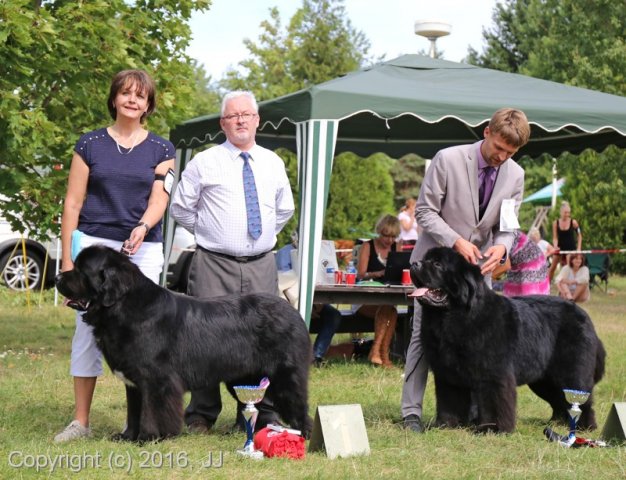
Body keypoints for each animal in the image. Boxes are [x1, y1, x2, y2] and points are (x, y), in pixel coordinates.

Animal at [56, 246, 312, 440]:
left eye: (80, 270)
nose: (58, 276)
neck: (122, 307)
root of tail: (292, 310)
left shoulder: (156, 380)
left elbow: (152, 411)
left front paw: (149, 437)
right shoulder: (134, 382)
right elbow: (134, 411)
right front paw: (127, 437)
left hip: (284, 376)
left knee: (298, 405)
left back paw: (305, 436)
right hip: (244, 377)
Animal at [410, 248, 604, 436]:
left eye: (437, 264)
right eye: (425, 259)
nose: (414, 264)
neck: (452, 318)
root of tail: (584, 315)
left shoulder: (493, 374)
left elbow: (494, 401)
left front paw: (491, 428)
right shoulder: (448, 373)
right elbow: (450, 399)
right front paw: (447, 425)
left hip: (572, 373)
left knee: (581, 399)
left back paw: (584, 427)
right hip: (543, 380)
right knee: (558, 399)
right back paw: (556, 422)